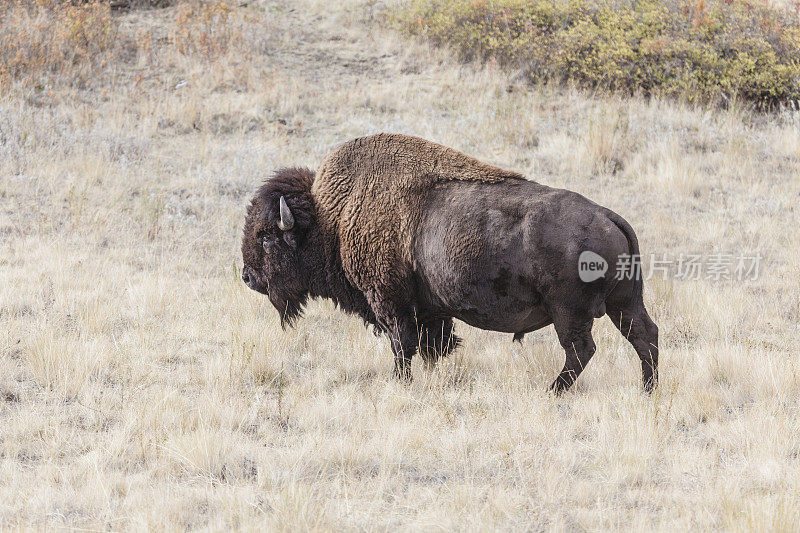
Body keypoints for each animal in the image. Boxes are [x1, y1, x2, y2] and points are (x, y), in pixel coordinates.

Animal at [241, 132, 660, 390]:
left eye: (267, 236)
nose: (247, 277)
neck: (333, 218)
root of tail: (608, 216)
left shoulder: (391, 303)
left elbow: (402, 347)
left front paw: (402, 383)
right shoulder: (429, 311)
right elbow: (431, 346)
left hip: (569, 312)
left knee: (581, 350)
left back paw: (552, 392)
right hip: (624, 302)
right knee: (645, 335)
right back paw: (647, 391)